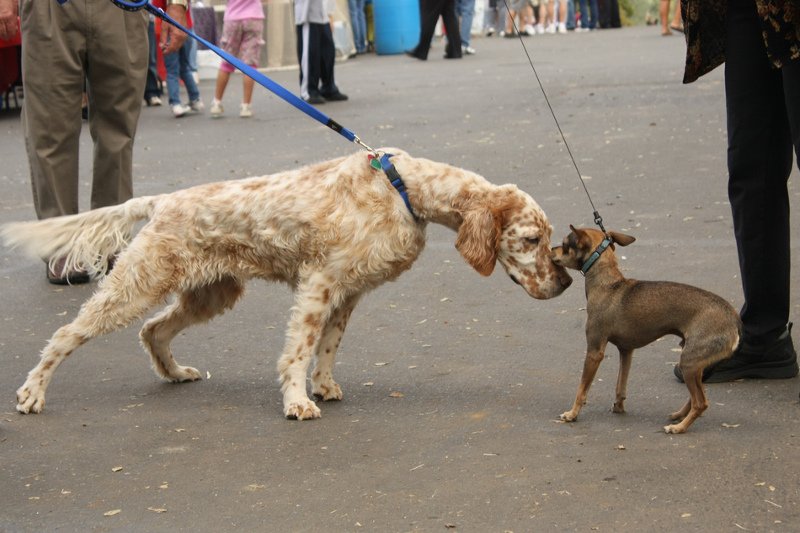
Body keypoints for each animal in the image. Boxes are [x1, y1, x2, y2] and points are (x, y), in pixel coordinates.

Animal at [3, 148, 572, 418]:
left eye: (549, 238)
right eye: (530, 239)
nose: (564, 284)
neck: (404, 189)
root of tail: (163, 200)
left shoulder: (349, 290)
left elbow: (328, 346)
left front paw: (324, 386)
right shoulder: (319, 283)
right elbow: (299, 350)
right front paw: (298, 401)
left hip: (213, 292)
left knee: (153, 331)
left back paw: (175, 372)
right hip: (137, 283)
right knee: (66, 335)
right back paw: (32, 393)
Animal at [552, 224, 740, 432]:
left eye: (564, 244)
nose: (551, 249)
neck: (609, 285)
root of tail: (733, 320)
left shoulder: (594, 352)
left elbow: (582, 389)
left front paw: (572, 414)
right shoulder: (626, 351)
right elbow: (620, 384)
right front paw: (618, 406)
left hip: (689, 363)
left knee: (701, 403)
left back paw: (679, 428)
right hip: (695, 365)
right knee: (697, 398)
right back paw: (679, 415)